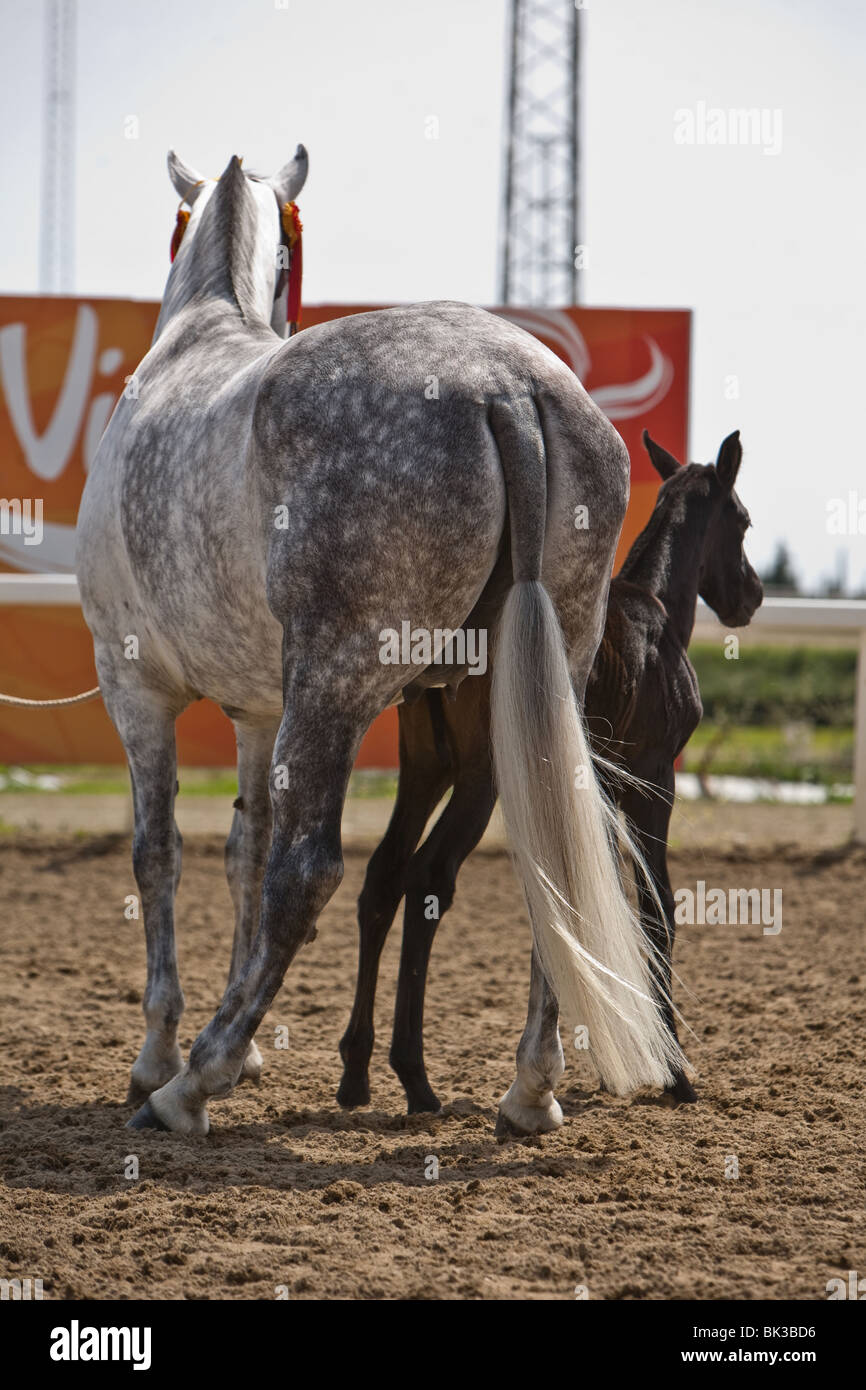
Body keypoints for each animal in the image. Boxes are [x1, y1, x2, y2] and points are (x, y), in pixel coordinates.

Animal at [77, 146, 683, 1138]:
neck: (199, 338)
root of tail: (506, 385)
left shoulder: (138, 692)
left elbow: (161, 852)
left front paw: (160, 1050)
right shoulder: (257, 713)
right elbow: (243, 846)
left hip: (334, 688)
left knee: (309, 872)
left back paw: (193, 1080)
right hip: (531, 689)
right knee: (552, 860)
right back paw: (530, 1089)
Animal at [337, 429, 762, 1120]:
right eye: (743, 520)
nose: (752, 595)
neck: (656, 619)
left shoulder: (603, 789)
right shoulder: (654, 779)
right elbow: (657, 909)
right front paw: (675, 1072)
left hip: (427, 767)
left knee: (384, 874)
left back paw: (355, 1071)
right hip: (480, 776)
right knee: (428, 878)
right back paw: (415, 1077)